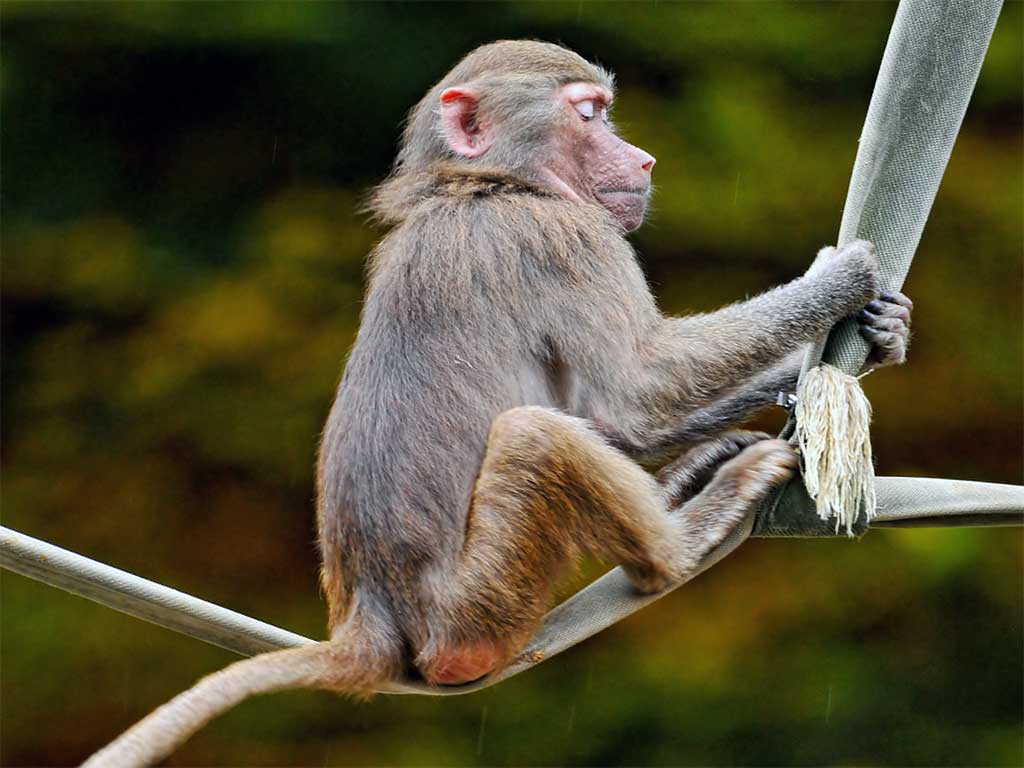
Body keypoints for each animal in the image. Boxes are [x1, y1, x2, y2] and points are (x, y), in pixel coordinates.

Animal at [83, 40, 912, 767]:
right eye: (590, 114)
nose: (642, 159)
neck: (482, 185)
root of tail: (372, 619)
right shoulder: (565, 237)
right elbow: (638, 397)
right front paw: (837, 280)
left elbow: (618, 417)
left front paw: (879, 336)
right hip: (481, 606)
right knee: (536, 436)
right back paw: (681, 543)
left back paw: (685, 488)